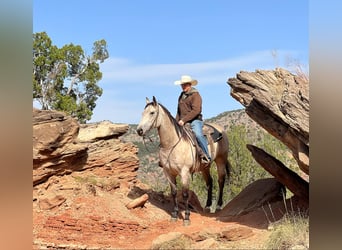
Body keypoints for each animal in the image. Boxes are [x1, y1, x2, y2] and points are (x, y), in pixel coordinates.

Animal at [136, 96, 230, 226]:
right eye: (142, 113)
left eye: (152, 112)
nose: (139, 130)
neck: (171, 144)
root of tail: (221, 130)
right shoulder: (168, 173)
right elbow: (174, 193)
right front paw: (175, 215)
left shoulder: (184, 172)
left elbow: (185, 194)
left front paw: (186, 217)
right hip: (205, 167)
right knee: (209, 182)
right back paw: (207, 206)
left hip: (221, 160)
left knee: (221, 180)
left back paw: (219, 206)